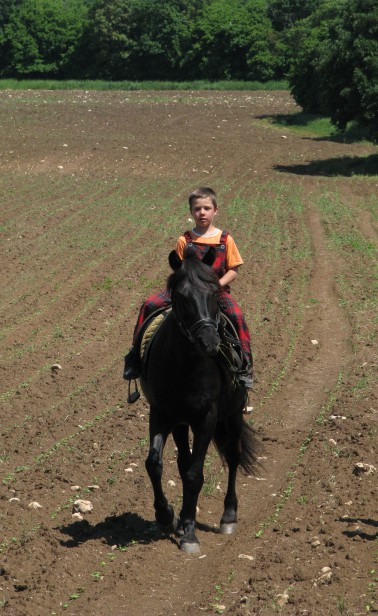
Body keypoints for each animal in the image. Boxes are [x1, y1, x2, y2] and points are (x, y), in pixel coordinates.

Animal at [140, 248, 258, 556]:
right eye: (181, 297)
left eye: (214, 293)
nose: (209, 342)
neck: (184, 364)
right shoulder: (161, 413)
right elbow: (155, 463)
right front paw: (166, 516)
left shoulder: (206, 418)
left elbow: (195, 474)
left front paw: (190, 534)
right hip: (182, 423)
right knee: (183, 461)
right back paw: (181, 519)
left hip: (233, 414)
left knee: (233, 456)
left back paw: (228, 516)